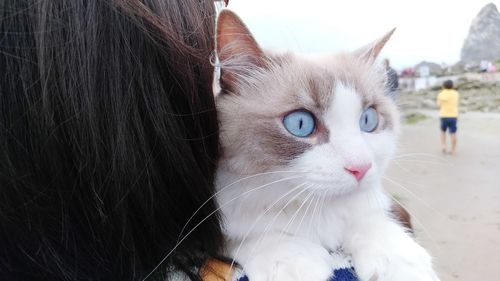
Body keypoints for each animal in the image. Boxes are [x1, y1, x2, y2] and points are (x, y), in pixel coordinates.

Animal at [214, 9, 438, 280]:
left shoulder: (370, 203)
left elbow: (370, 220)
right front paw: (289, 258)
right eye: (301, 124)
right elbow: (251, 235)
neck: (315, 212)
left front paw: (399, 260)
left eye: (368, 120)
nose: (361, 168)